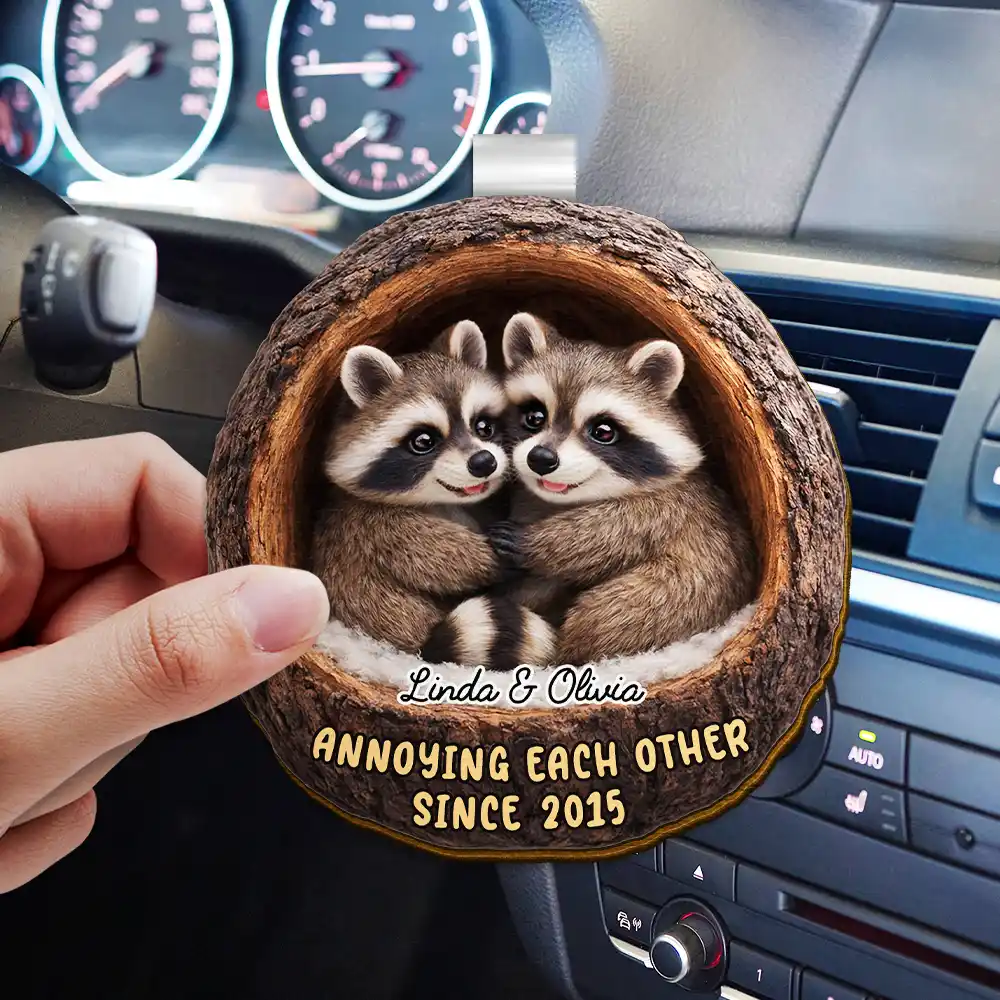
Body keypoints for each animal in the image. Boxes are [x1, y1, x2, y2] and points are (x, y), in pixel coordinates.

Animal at [312, 320, 517, 657]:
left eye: (483, 426)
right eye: (423, 441)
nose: (484, 462)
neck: (443, 501)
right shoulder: (374, 524)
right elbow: (435, 557)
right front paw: (494, 559)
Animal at [491, 311, 757, 665]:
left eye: (603, 431)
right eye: (534, 417)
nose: (541, 459)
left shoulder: (673, 505)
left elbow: (613, 531)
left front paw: (534, 543)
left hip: (681, 597)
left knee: (610, 614)